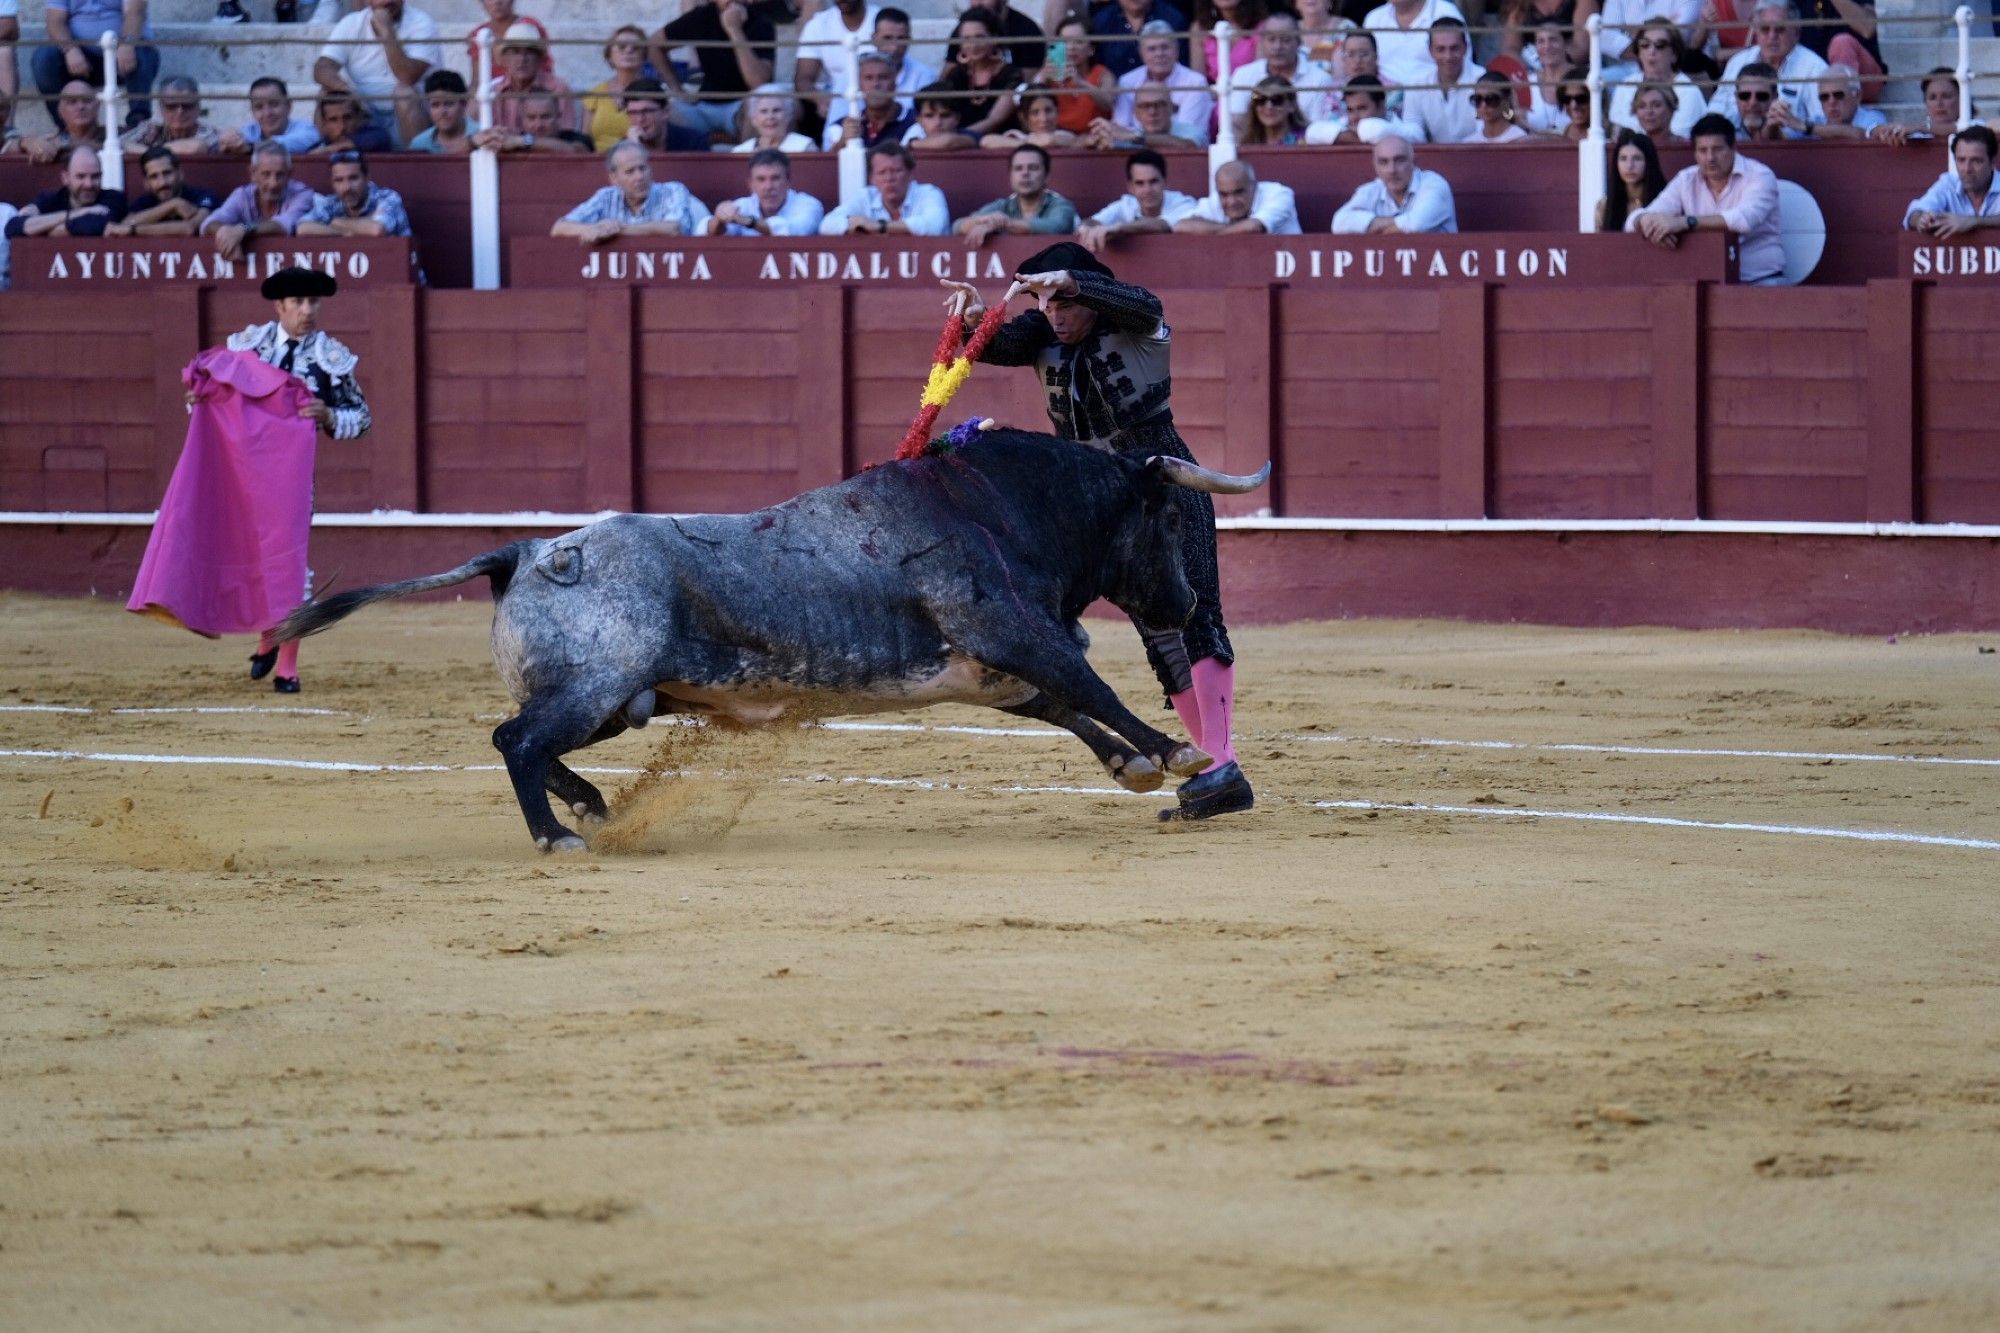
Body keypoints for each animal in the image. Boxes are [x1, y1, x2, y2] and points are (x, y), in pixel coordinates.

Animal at [270, 430, 1264, 856]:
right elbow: (1091, 688)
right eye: (1165, 516)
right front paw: (1176, 753)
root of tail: (525, 551)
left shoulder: (985, 666)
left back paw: (590, 806)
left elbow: (1063, 705)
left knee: (521, 738)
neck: (999, 503)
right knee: (517, 740)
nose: (1186, 600)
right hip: (599, 684)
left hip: (613, 700)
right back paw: (558, 836)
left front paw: (1137, 767)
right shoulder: (1010, 630)